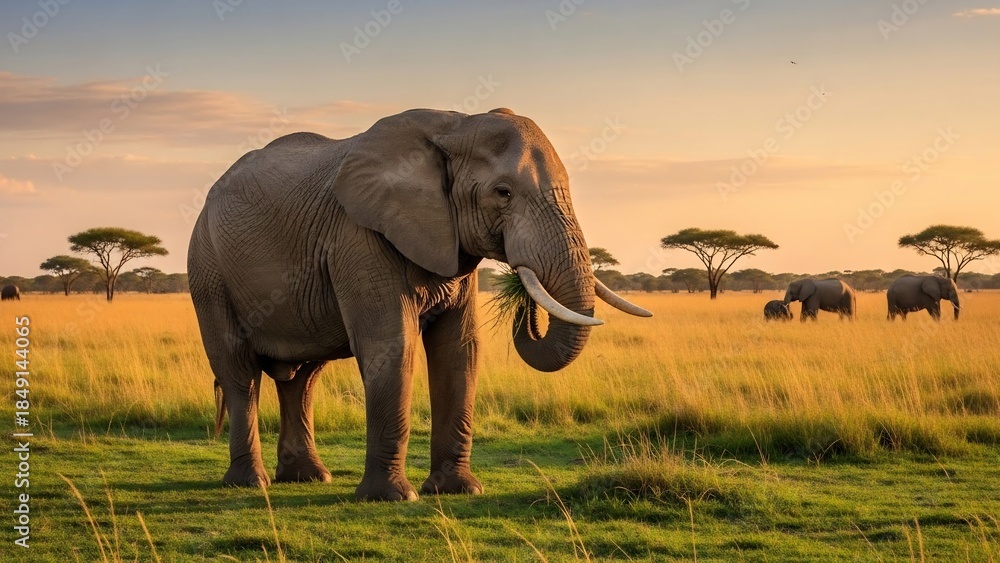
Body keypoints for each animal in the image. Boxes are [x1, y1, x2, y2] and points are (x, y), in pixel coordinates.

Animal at [188, 108, 652, 501]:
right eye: (502, 193)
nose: (522, 301)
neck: (454, 125)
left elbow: (459, 350)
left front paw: (459, 491)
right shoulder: (358, 236)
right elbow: (392, 346)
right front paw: (391, 498)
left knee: (302, 379)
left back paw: (308, 478)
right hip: (208, 268)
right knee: (239, 372)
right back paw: (251, 483)